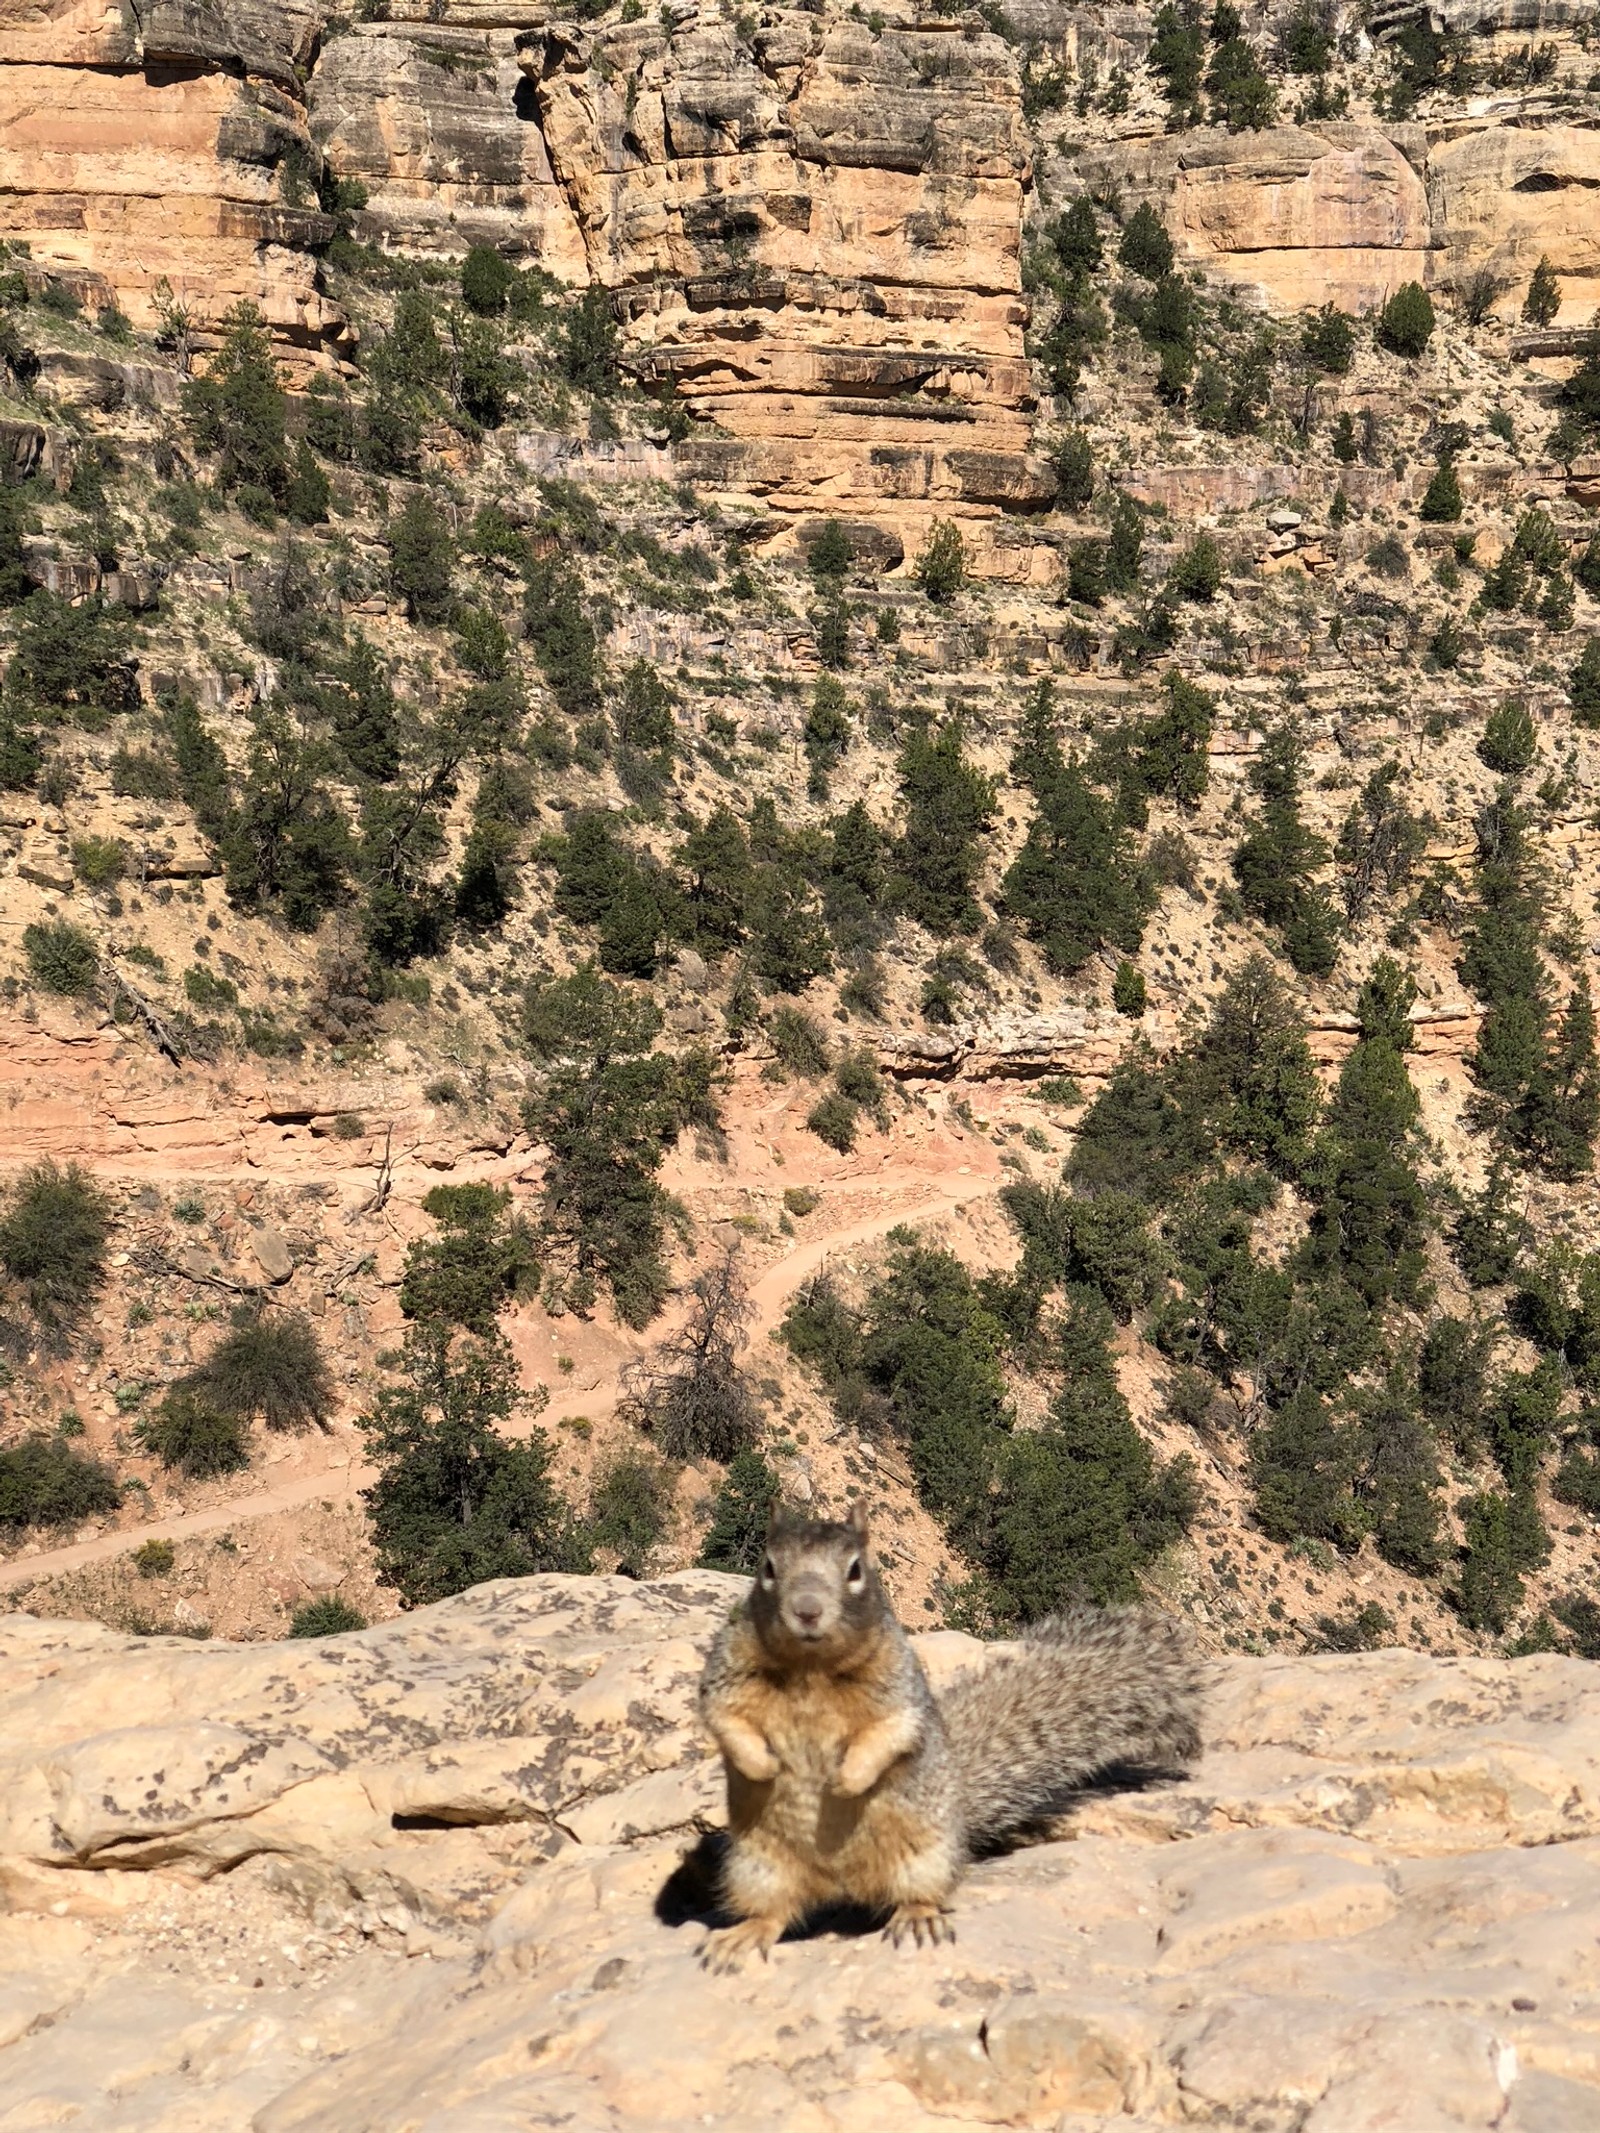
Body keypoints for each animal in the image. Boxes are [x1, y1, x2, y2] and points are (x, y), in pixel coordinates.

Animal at [695, 1501, 1211, 1962]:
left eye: (856, 1569)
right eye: (768, 1566)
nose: (806, 1610)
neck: (811, 1668)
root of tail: (841, 1883)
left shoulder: (901, 1685)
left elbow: (892, 1730)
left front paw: (846, 1779)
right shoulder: (726, 1669)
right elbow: (723, 1717)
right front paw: (763, 1766)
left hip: (925, 1856)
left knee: (917, 1894)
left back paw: (917, 1918)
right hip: (757, 1867)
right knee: (774, 1912)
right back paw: (741, 1937)